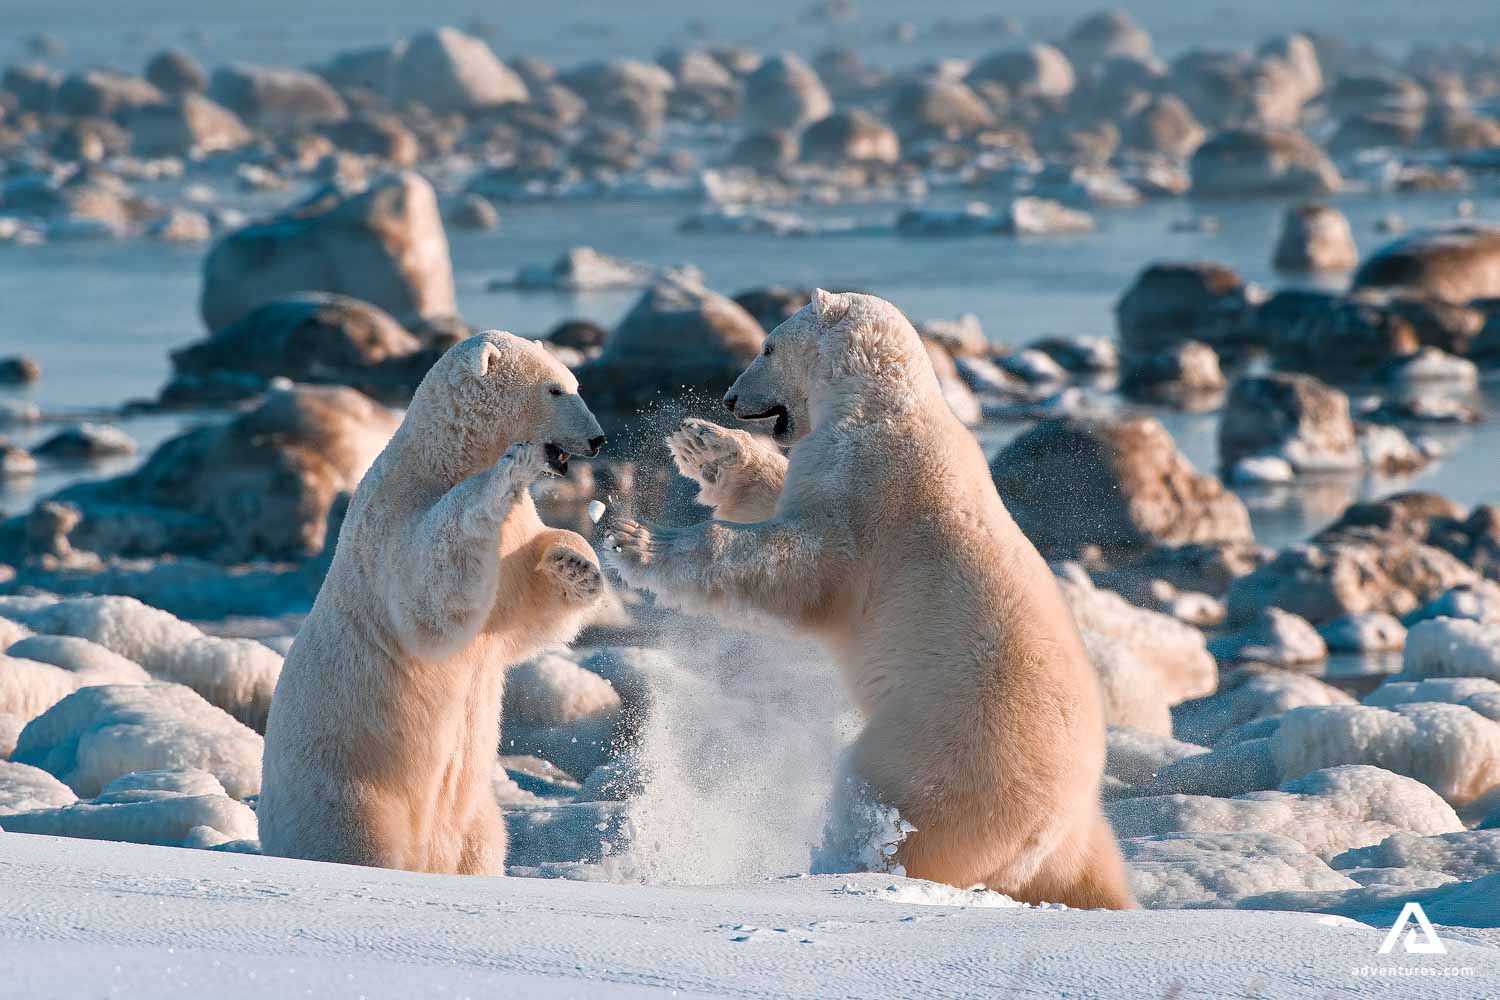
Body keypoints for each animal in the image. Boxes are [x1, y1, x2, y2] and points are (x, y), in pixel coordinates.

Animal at [259, 331, 607, 875]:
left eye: (575, 383)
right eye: (554, 389)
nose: (597, 439)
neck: (440, 459)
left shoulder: (512, 541)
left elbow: (521, 616)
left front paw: (577, 564)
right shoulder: (390, 520)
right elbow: (431, 594)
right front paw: (510, 469)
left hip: (473, 814)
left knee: (482, 840)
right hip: (351, 788)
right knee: (358, 844)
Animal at [606, 290, 1135, 909]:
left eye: (767, 346)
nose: (733, 399)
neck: (884, 404)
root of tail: (1060, 824)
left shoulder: (868, 486)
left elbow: (801, 562)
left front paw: (636, 540)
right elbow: (780, 492)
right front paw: (705, 444)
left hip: (943, 748)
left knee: (888, 808)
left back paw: (840, 869)